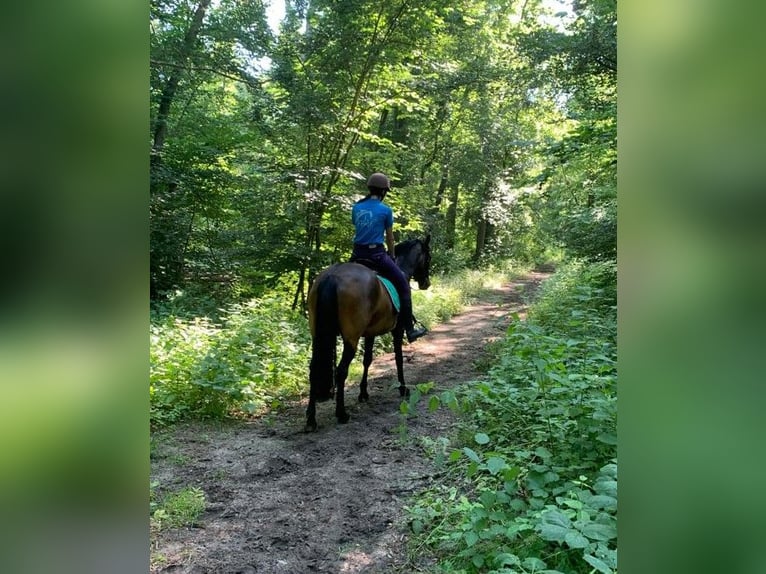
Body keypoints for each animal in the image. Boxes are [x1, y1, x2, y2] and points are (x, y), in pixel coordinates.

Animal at [304, 235, 432, 432]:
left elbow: (367, 360)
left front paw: (363, 393)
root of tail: (332, 277)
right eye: (428, 257)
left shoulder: (370, 333)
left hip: (317, 335)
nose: (426, 283)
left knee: (313, 370)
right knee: (341, 371)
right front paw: (403, 388)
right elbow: (398, 358)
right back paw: (341, 414)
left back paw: (311, 419)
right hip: (351, 338)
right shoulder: (397, 330)